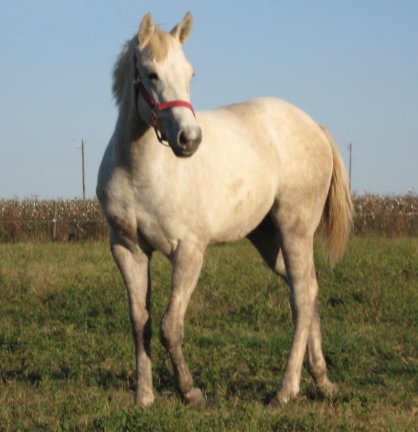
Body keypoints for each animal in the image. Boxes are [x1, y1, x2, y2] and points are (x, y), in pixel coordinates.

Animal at [97, 11, 352, 408]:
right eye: (151, 74)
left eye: (190, 73)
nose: (189, 139)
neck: (140, 172)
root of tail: (315, 127)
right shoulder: (128, 249)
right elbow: (141, 323)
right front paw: (144, 396)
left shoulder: (188, 251)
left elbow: (171, 326)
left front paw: (190, 392)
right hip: (268, 240)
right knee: (309, 290)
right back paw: (321, 379)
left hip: (294, 229)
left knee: (302, 295)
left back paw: (285, 390)